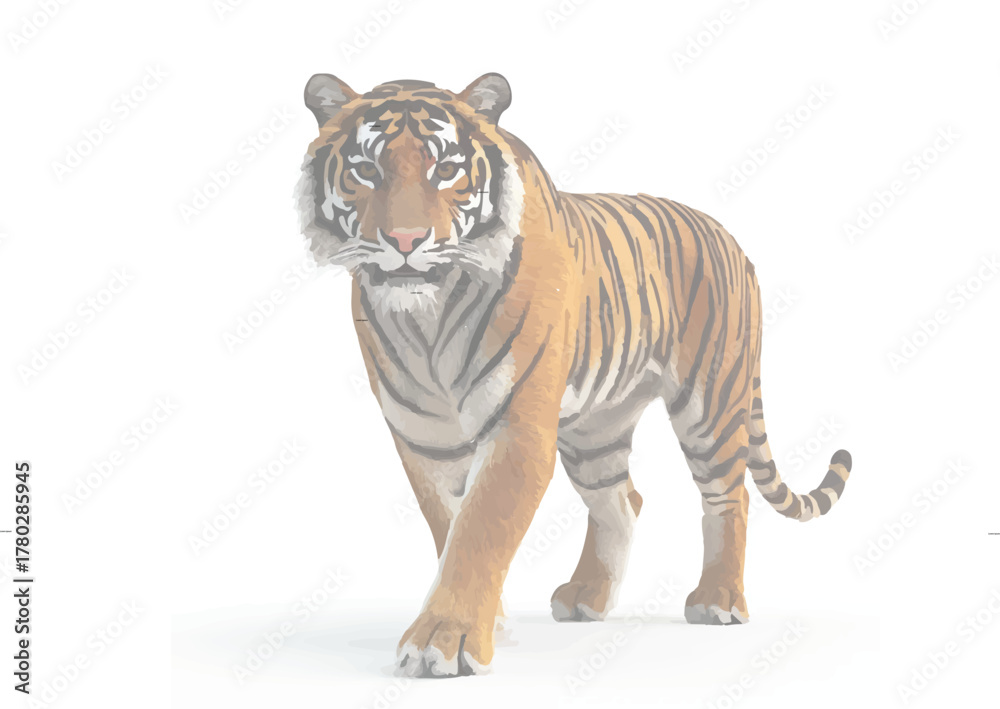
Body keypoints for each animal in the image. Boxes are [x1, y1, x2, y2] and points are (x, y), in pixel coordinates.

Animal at [297, 72, 853, 678]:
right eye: (364, 170)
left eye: (445, 170)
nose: (404, 241)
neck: (426, 317)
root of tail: (730, 237)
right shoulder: (424, 440)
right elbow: (449, 526)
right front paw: (485, 619)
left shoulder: (517, 426)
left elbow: (480, 529)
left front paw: (444, 640)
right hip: (596, 429)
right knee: (622, 500)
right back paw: (589, 596)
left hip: (711, 405)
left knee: (730, 498)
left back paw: (718, 600)